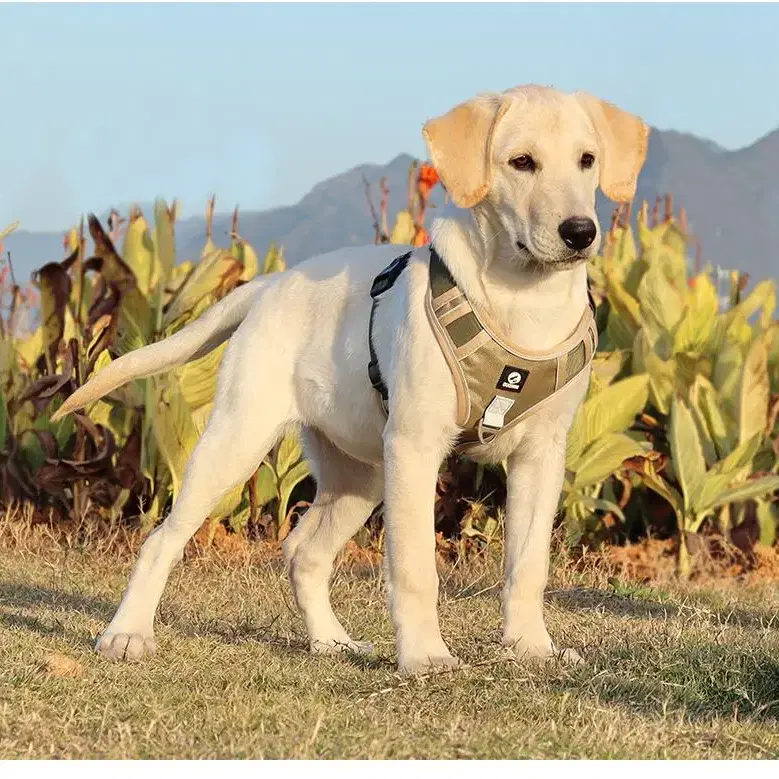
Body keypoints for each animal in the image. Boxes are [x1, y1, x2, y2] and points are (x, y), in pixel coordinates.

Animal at [54, 82, 648, 672]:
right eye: (521, 162)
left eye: (587, 160)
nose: (581, 232)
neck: (522, 302)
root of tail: (270, 283)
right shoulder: (414, 446)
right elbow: (415, 567)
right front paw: (426, 655)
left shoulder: (542, 454)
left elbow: (527, 565)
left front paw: (531, 647)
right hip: (236, 442)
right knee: (163, 538)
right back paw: (127, 634)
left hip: (361, 475)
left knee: (303, 553)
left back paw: (330, 641)